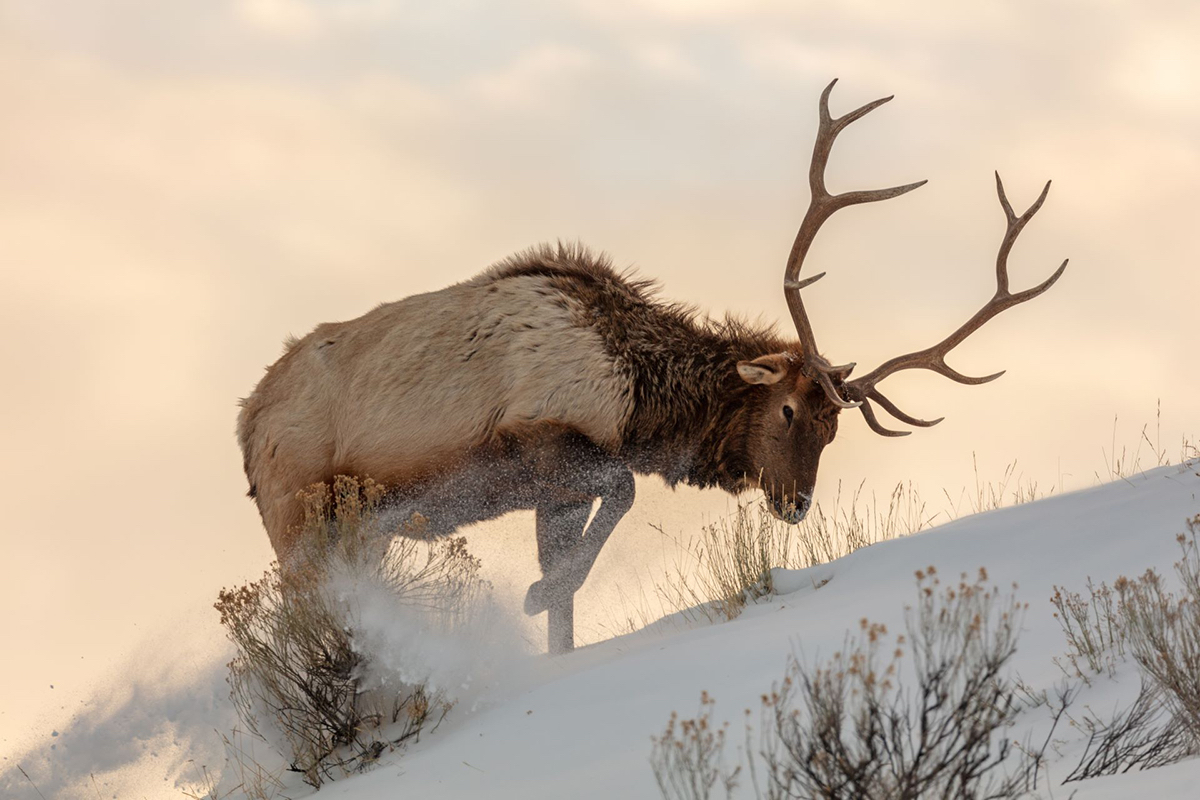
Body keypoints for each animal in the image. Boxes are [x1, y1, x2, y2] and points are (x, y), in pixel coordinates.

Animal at [238, 81, 1065, 652]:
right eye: (789, 409)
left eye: (835, 431)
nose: (796, 504)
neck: (640, 398)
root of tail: (246, 425)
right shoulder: (540, 439)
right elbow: (623, 495)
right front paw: (533, 594)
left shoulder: (552, 491)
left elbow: (572, 596)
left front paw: (549, 616)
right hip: (298, 519)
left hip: (355, 530)